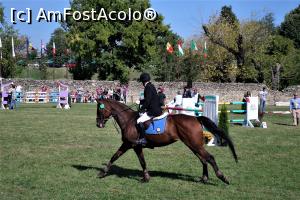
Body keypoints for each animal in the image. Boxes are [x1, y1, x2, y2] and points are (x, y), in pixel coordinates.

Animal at [95, 98, 237, 184]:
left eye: (100, 108)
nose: (98, 124)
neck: (128, 120)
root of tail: (196, 118)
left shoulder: (128, 144)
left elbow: (114, 156)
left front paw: (102, 172)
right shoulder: (136, 146)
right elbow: (142, 162)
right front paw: (146, 177)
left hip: (194, 144)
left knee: (209, 157)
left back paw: (222, 177)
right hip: (192, 145)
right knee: (203, 159)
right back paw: (204, 178)